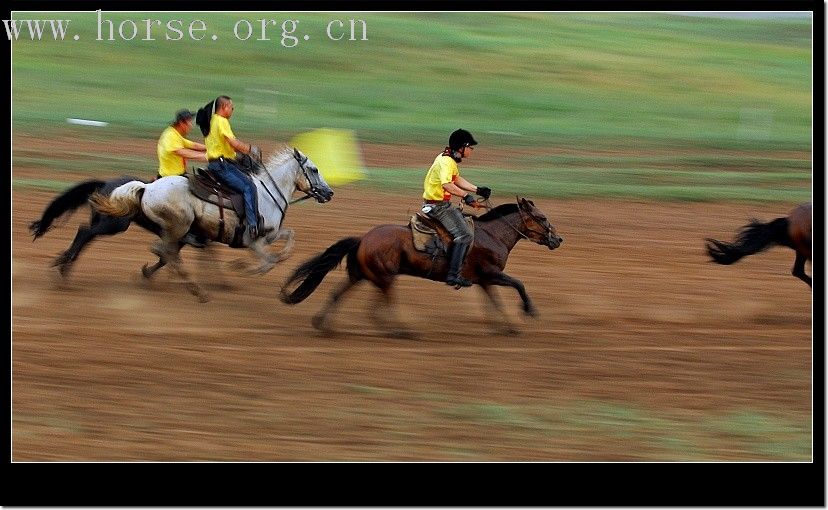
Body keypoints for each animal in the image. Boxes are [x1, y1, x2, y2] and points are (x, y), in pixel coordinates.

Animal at [29, 176, 210, 278]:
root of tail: (106, 184)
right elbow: (167, 257)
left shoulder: (181, 240)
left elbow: (166, 257)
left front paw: (147, 272)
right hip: (114, 224)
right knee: (85, 232)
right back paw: (64, 264)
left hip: (102, 221)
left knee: (86, 236)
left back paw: (64, 263)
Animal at [89, 145, 334, 300]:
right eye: (314, 169)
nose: (329, 192)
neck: (267, 195)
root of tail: (146, 188)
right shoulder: (253, 241)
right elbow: (269, 261)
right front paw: (242, 268)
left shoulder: (270, 235)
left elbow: (288, 241)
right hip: (179, 227)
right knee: (168, 254)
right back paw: (198, 292)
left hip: (177, 231)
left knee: (166, 253)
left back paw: (155, 276)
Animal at [280, 196, 564, 338]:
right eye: (542, 218)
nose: (558, 239)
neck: (492, 235)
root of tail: (363, 238)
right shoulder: (491, 274)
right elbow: (519, 284)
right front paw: (528, 311)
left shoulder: (484, 280)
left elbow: (495, 302)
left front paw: (507, 327)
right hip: (385, 278)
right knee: (377, 308)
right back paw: (402, 330)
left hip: (363, 276)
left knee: (338, 295)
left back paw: (323, 325)